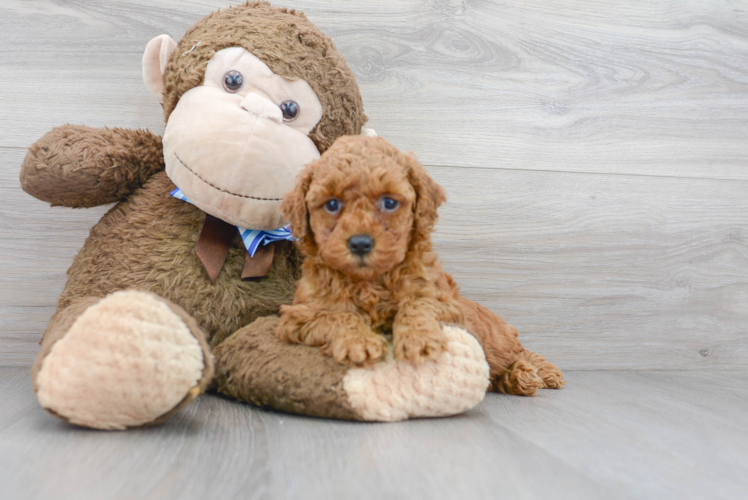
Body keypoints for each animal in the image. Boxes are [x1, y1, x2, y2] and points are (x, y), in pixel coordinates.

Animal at [280, 137, 568, 394]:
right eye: (332, 204)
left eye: (389, 202)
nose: (360, 243)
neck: (370, 281)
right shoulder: (300, 315)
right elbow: (339, 315)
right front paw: (359, 342)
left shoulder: (447, 303)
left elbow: (417, 303)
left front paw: (419, 339)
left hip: (497, 340)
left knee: (519, 353)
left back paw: (537, 372)